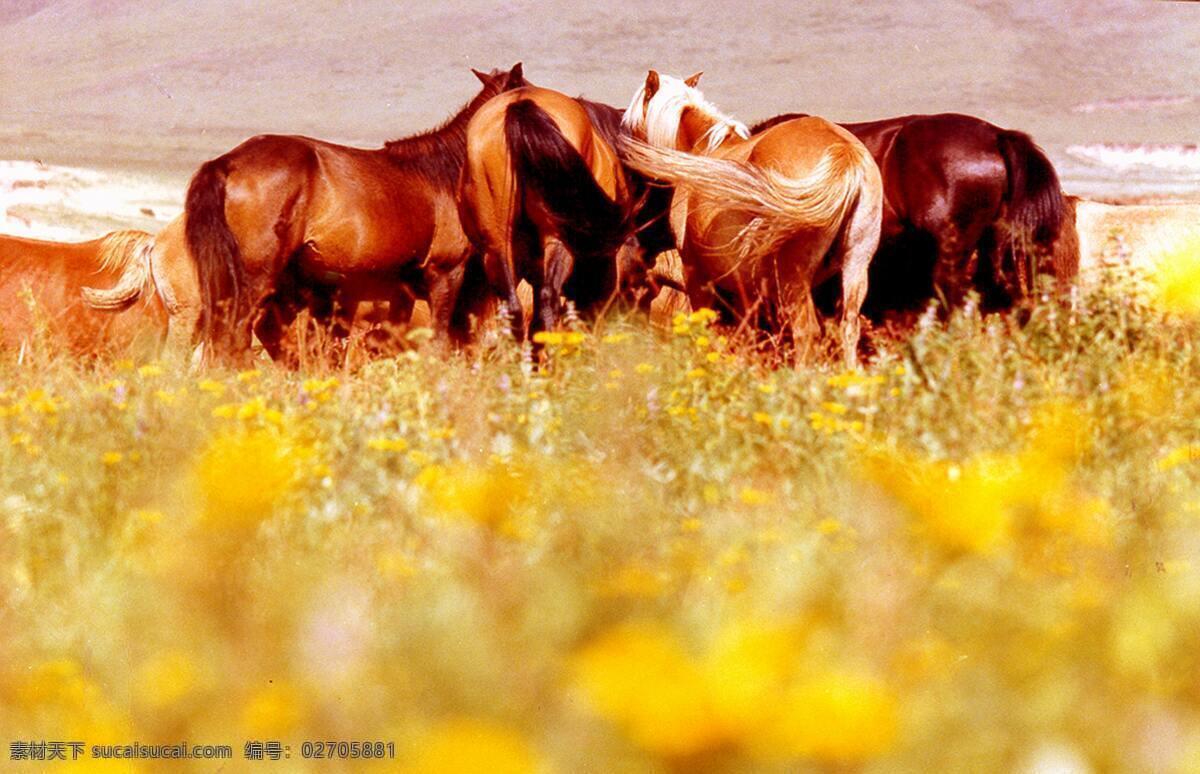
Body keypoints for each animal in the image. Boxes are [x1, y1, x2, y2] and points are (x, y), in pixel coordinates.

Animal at [186, 62, 525, 362]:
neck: (445, 172)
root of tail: (227, 162)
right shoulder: (445, 273)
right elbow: (438, 341)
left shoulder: (402, 291)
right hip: (256, 280)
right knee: (236, 335)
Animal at [624, 70, 888, 364]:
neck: (702, 150)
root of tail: (843, 152)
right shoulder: (745, 286)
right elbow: (748, 333)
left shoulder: (696, 275)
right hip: (855, 266)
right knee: (848, 328)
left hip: (793, 281)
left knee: (806, 331)